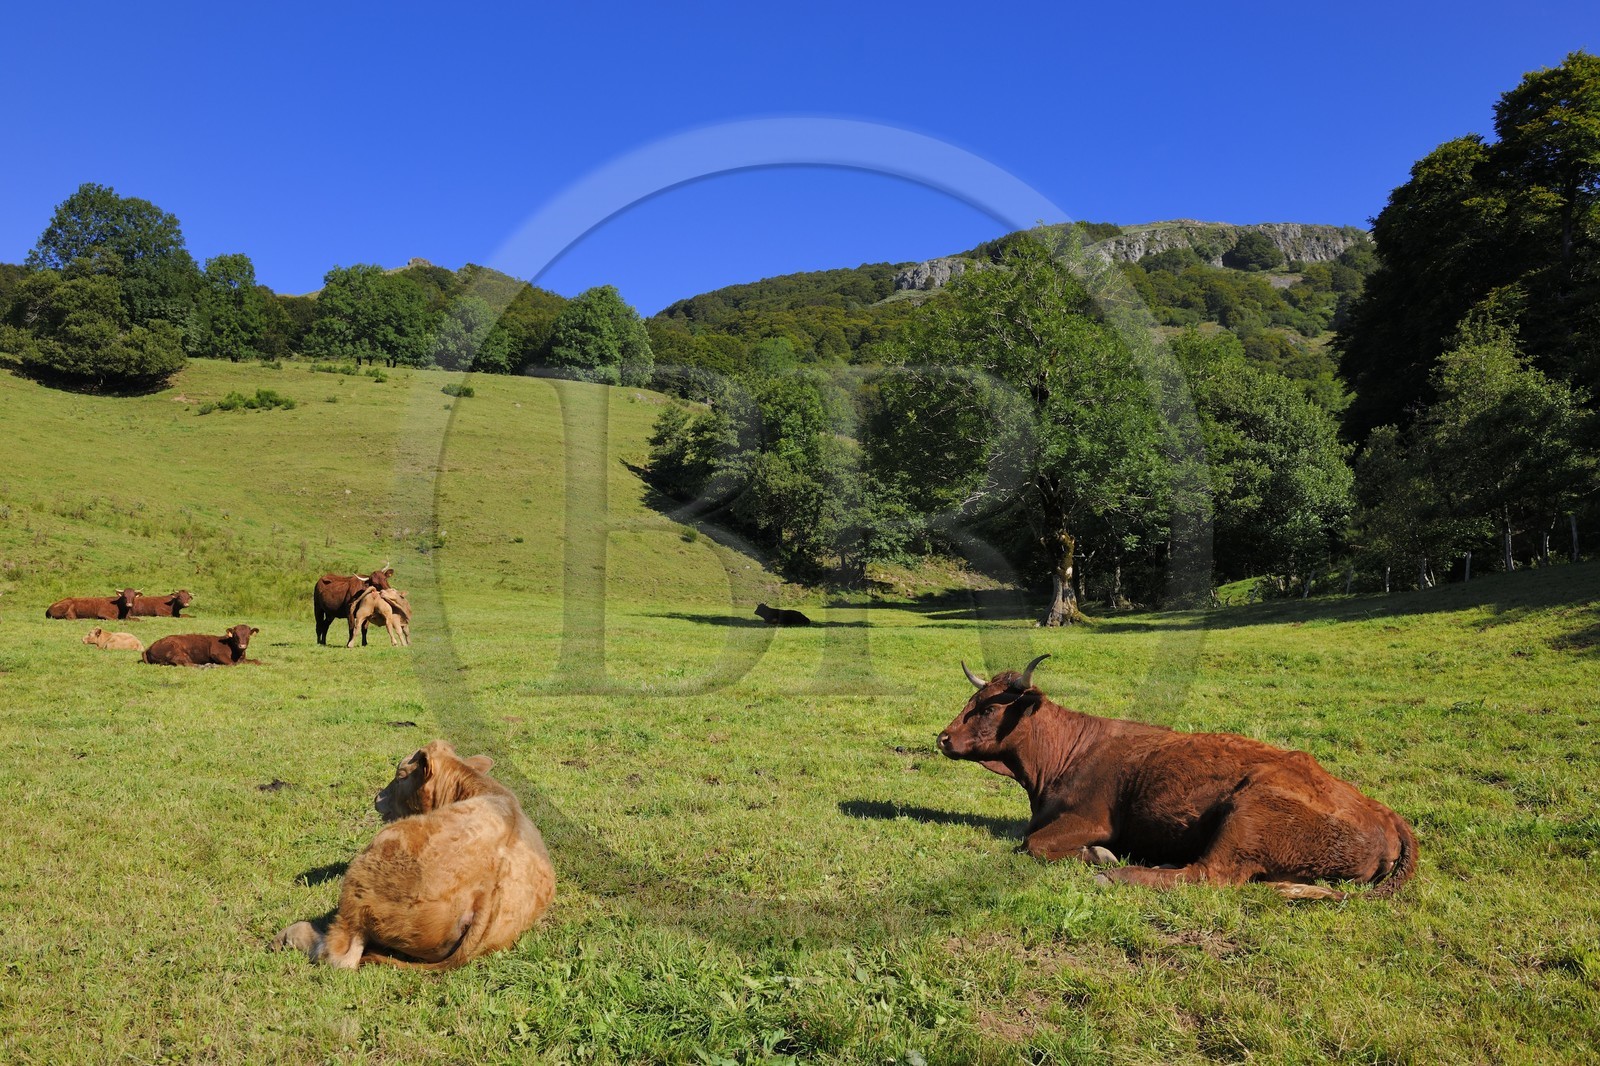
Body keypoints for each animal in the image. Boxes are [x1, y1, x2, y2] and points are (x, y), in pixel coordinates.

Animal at [272, 739, 555, 970]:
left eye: (400, 776)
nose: (377, 797)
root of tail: (488, 892)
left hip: (368, 872)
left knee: (341, 955)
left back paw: (286, 936)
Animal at [938, 654, 1417, 901]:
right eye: (970, 700)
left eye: (989, 708)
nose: (942, 737)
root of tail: (1384, 812)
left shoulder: (1090, 819)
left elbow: (1033, 844)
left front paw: (1100, 857)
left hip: (1248, 813)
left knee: (1208, 875)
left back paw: (1121, 874)